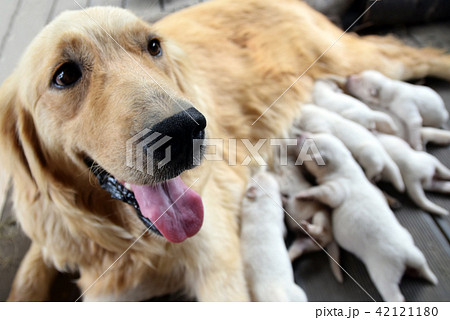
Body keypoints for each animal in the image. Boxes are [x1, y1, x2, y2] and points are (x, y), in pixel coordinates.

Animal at [298, 132, 438, 302]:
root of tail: (406, 257)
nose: (300, 134)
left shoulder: (336, 190)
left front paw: (304, 194)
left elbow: (322, 193)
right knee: (423, 266)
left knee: (395, 296)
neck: (345, 166)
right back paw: (429, 276)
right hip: (417, 255)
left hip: (385, 276)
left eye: (308, 145)